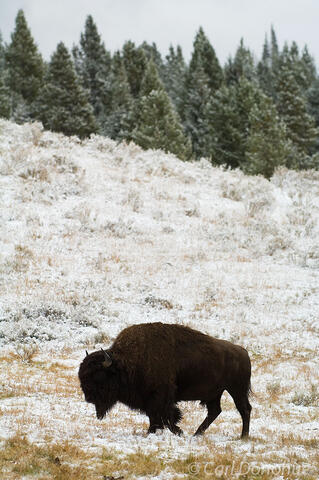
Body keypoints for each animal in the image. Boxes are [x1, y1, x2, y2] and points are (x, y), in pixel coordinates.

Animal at [78, 322, 252, 438]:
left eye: (98, 375)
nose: (88, 398)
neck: (124, 363)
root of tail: (243, 352)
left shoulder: (160, 396)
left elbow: (164, 415)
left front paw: (175, 431)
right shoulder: (148, 399)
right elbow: (156, 416)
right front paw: (156, 431)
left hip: (236, 390)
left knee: (244, 409)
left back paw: (243, 436)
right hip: (214, 394)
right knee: (215, 411)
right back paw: (197, 433)